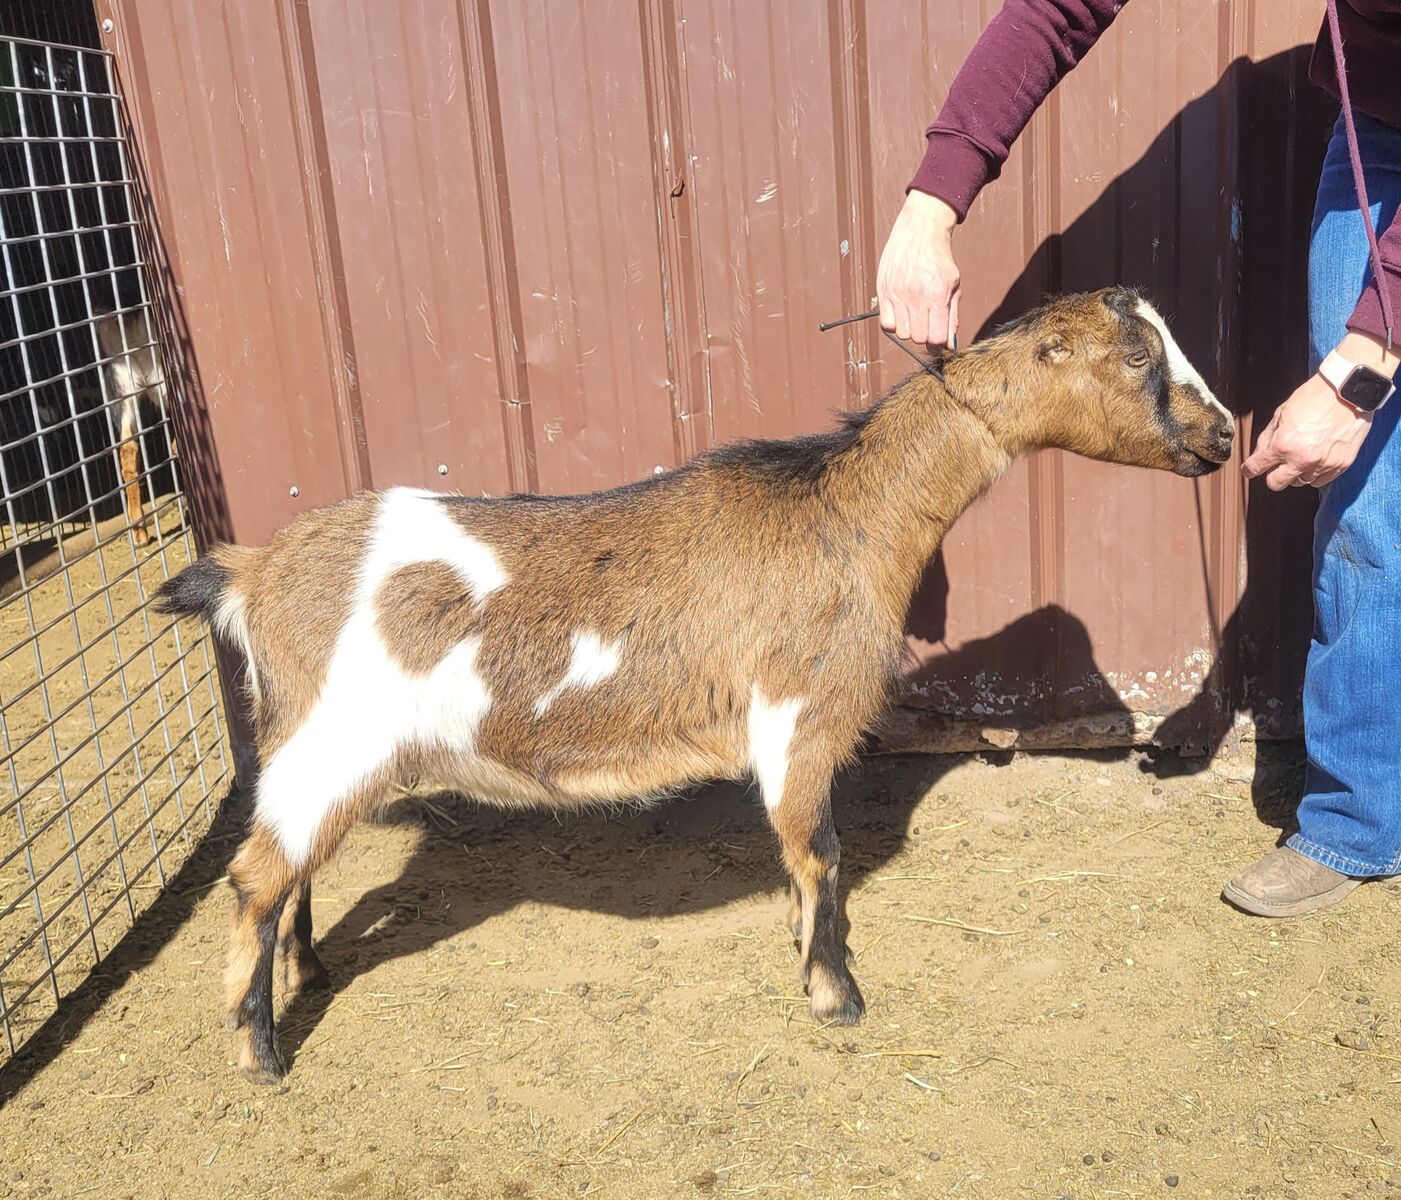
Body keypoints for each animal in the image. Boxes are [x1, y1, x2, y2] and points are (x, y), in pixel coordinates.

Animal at [156, 287, 1233, 1084]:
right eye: (1135, 357)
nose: (1223, 435)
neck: (847, 511)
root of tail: (255, 571)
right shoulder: (797, 714)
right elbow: (818, 852)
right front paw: (835, 993)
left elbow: (805, 859)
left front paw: (806, 955)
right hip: (335, 738)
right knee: (254, 877)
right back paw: (259, 1050)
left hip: (308, 744)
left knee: (291, 868)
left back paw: (309, 971)